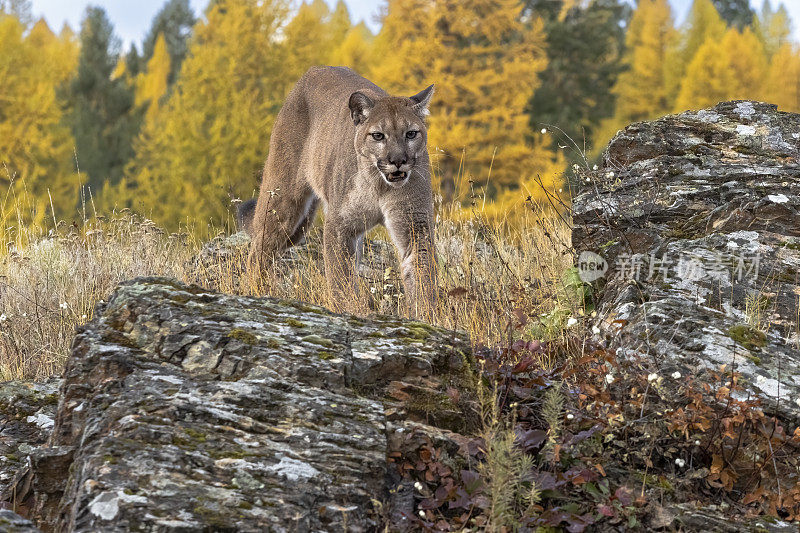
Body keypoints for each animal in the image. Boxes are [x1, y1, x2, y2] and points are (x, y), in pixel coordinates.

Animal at [239, 66, 438, 316]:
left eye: (411, 133)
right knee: (260, 248)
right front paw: (348, 310)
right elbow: (340, 278)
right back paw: (257, 291)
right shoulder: (340, 225)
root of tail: (314, 70)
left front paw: (427, 315)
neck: (379, 184)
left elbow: (422, 275)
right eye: (378, 135)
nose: (398, 161)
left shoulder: (414, 225)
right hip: (283, 200)